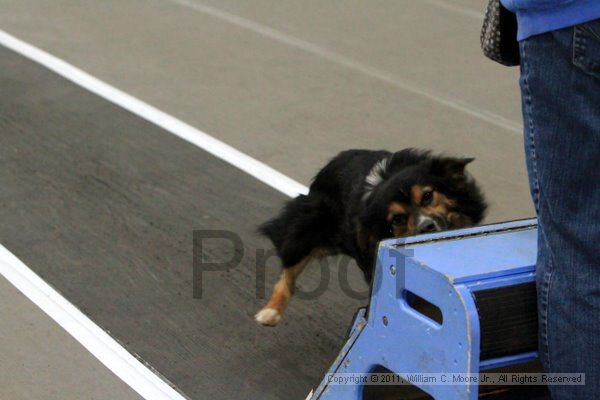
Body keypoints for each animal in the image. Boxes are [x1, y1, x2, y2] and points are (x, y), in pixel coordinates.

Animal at [255, 148, 486, 326]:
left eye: (428, 196)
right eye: (398, 219)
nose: (427, 226)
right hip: (308, 228)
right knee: (289, 270)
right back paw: (270, 312)